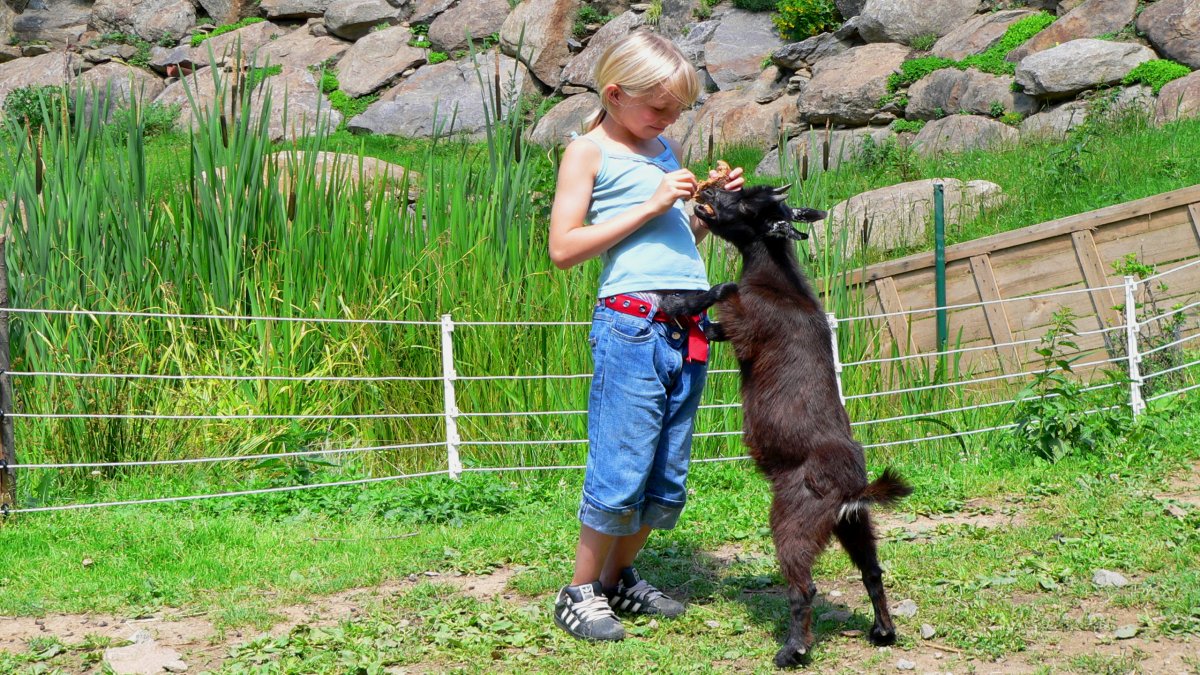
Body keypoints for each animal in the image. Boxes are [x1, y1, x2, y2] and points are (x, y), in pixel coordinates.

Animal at [661, 184, 913, 668]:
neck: (778, 283)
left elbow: (723, 293)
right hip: (854, 523)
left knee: (804, 586)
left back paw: (792, 650)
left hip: (794, 520)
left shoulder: (743, 324)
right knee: (872, 569)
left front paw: (681, 300)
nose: (707, 189)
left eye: (745, 203)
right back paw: (883, 631)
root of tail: (852, 490)